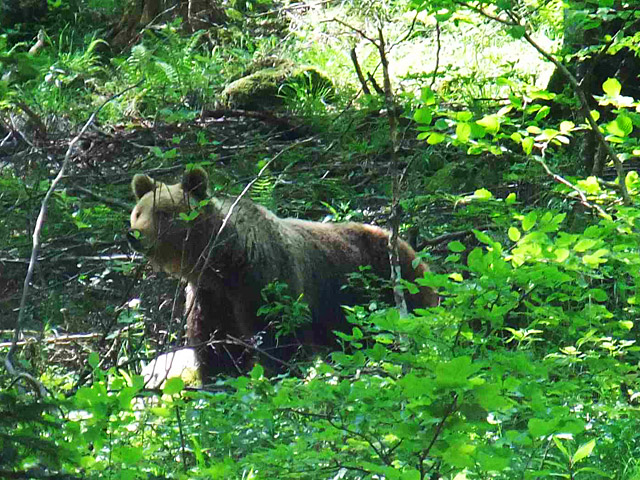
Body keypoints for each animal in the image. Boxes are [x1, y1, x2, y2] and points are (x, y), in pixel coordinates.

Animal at [128, 168, 437, 381]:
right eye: (138, 212)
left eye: (163, 212)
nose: (134, 235)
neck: (224, 260)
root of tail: (412, 249)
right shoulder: (210, 297)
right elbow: (218, 351)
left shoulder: (267, 283)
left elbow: (281, 341)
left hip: (392, 289)